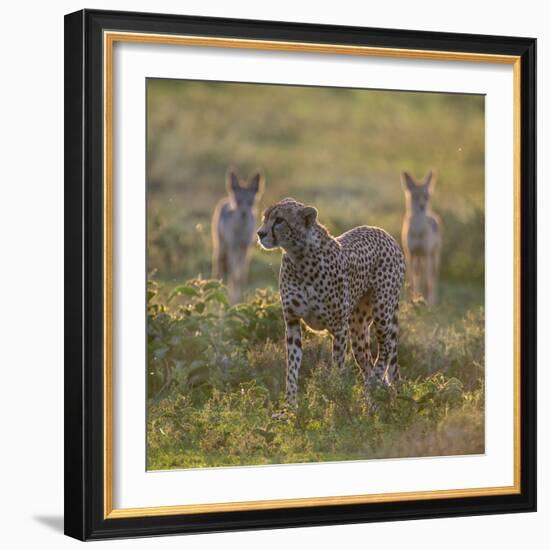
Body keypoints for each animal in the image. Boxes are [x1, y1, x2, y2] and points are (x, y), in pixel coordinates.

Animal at [212, 170, 264, 304]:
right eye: (238, 201)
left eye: (250, 202)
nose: (243, 213)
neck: (241, 231)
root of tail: (225, 200)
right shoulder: (233, 248)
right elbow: (234, 275)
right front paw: (233, 300)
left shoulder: (245, 249)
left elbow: (241, 276)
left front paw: (240, 299)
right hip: (222, 248)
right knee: (222, 269)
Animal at [258, 198, 406, 410]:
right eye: (265, 217)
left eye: (279, 220)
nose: (260, 233)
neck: (299, 257)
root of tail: (383, 232)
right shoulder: (292, 322)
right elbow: (292, 369)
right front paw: (290, 407)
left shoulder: (338, 328)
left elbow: (337, 367)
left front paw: (335, 398)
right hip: (358, 328)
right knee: (368, 362)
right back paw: (372, 401)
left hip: (382, 312)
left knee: (385, 349)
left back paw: (372, 386)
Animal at [404, 171, 442, 306]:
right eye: (415, 196)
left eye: (426, 196)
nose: (422, 206)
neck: (418, 231)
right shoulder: (410, 253)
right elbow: (411, 281)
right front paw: (410, 301)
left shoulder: (425, 253)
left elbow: (426, 283)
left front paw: (425, 303)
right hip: (418, 258)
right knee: (418, 276)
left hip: (432, 257)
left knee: (432, 280)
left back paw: (432, 302)